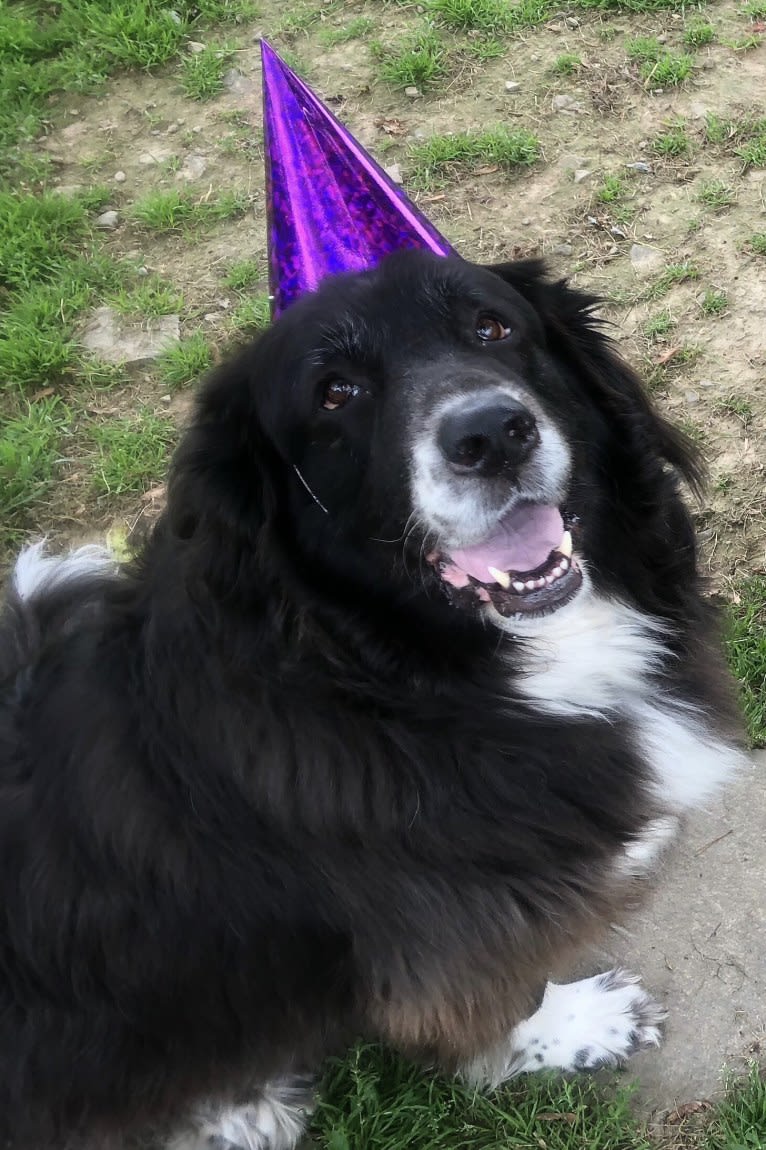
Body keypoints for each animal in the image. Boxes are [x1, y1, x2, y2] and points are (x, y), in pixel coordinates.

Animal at [0, 254, 740, 1150]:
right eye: (335, 393)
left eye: (492, 325)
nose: (493, 434)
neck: (394, 677)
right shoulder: (448, 943)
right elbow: (506, 1001)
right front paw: (583, 1029)